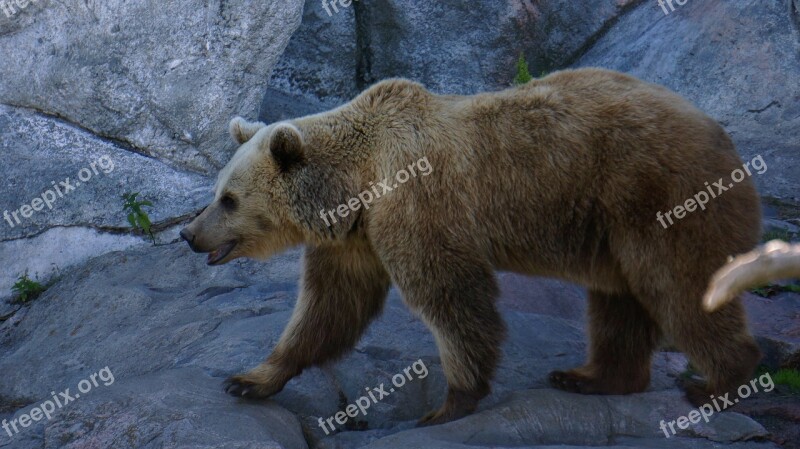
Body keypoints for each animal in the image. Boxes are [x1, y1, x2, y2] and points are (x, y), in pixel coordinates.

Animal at [180, 68, 764, 426]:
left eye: (228, 199)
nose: (189, 234)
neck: (356, 184)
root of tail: (722, 133)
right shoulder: (355, 238)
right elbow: (328, 307)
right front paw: (250, 379)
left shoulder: (416, 202)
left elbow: (450, 294)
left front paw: (449, 403)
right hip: (611, 230)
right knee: (619, 302)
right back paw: (590, 377)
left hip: (658, 196)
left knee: (681, 285)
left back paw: (720, 382)